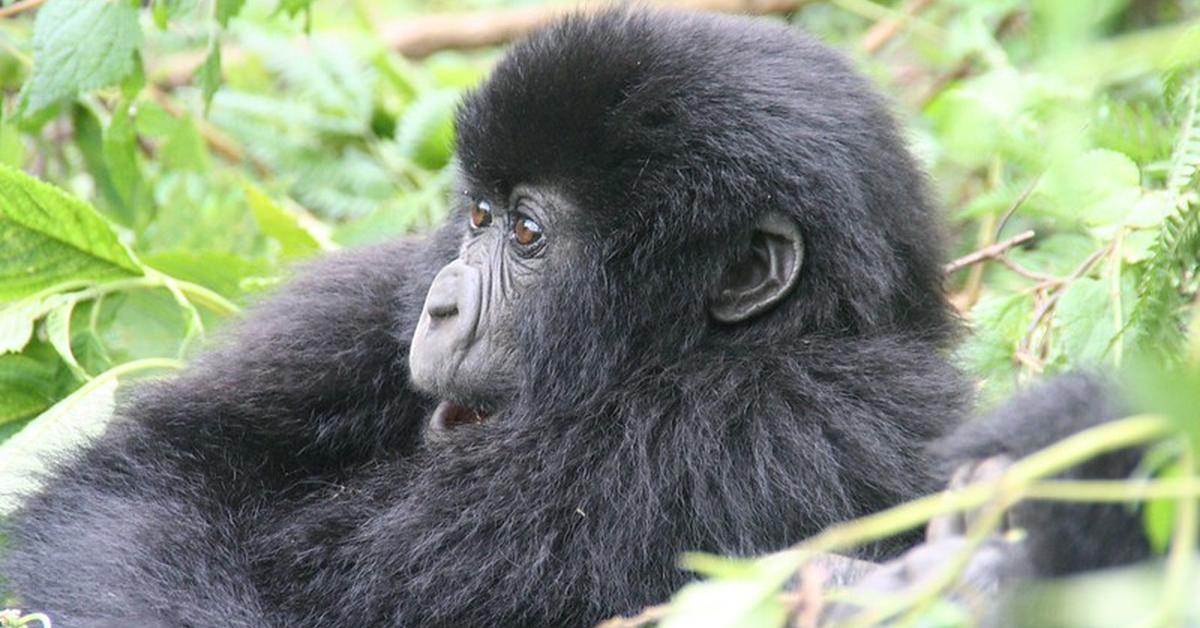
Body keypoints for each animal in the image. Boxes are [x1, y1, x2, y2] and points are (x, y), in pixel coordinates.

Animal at [0, 6, 1142, 628]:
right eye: (479, 216)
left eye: (531, 234)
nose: (441, 303)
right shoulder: (368, 293)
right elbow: (136, 488)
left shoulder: (802, 423)